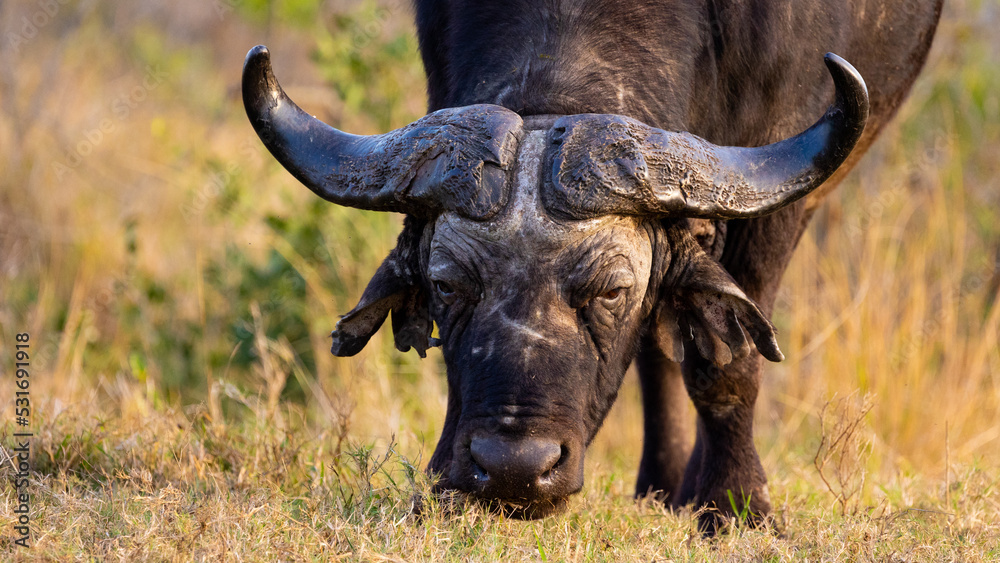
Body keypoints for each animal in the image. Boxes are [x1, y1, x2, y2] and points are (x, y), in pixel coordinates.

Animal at [242, 0, 943, 530]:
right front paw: (442, 485)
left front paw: (737, 506)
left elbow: (728, 360)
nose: (514, 469)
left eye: (611, 291)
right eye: (446, 286)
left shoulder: (776, 201)